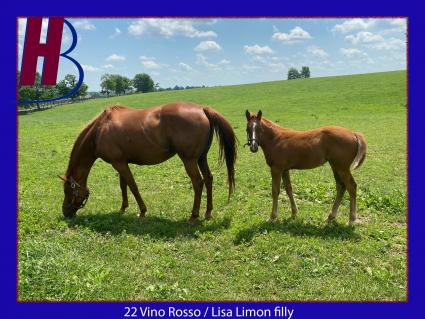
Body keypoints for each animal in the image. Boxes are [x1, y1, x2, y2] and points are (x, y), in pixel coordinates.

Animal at [60, 102, 235, 222]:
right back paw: (208, 212)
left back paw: (193, 216)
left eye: (67, 190)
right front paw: (123, 208)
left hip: (189, 160)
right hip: (201, 158)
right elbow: (123, 186)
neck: (100, 130)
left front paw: (142, 211)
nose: (65, 212)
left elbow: (132, 186)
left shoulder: (119, 163)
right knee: (208, 178)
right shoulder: (121, 162)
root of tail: (202, 109)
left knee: (198, 183)